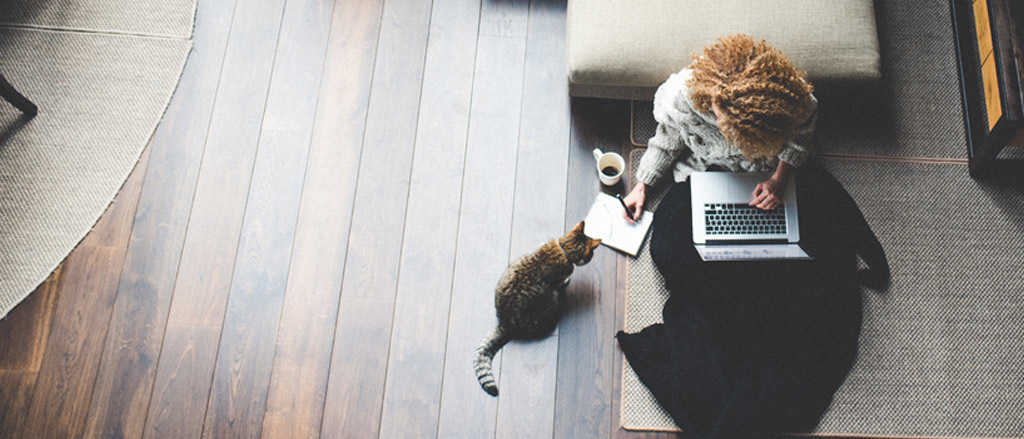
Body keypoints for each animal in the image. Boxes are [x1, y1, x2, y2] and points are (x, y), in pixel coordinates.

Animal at [471, 221, 598, 394]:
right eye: (591, 255)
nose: (591, 258)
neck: (563, 248)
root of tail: (504, 324)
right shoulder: (558, 279)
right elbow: (562, 280)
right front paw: (567, 281)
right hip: (551, 302)